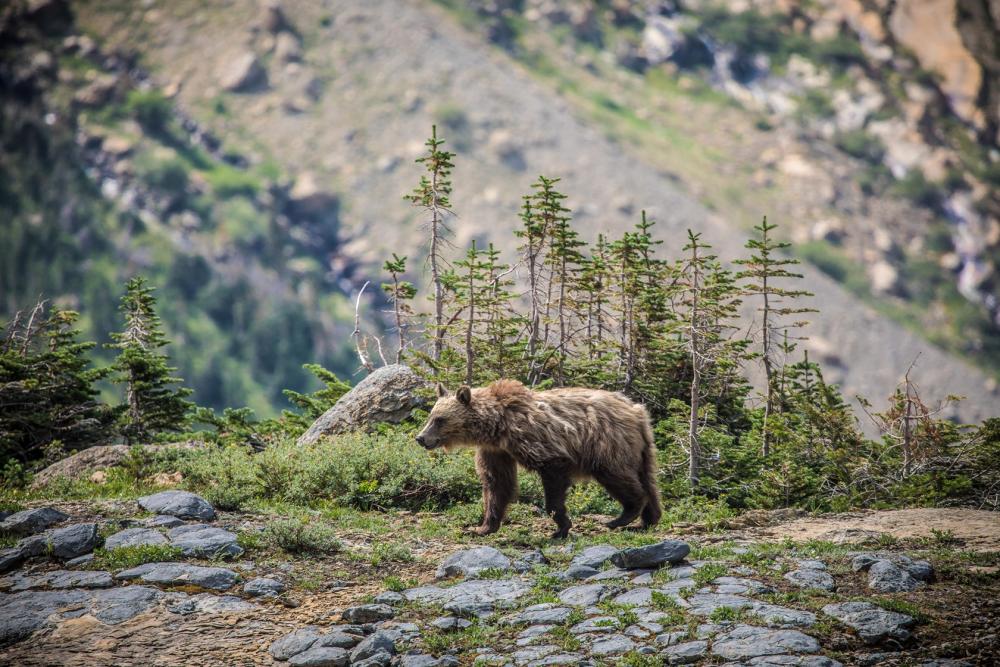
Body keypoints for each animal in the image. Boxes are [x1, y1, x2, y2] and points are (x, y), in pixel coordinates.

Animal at [415, 379, 662, 538]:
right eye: (431, 416)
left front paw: (561, 527)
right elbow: (497, 483)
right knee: (648, 479)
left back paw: (621, 517)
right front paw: (482, 527)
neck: (497, 426)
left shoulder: (535, 441)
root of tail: (636, 410)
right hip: (643, 448)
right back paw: (648, 519)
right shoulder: (497, 451)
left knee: (616, 476)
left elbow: (552, 476)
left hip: (606, 443)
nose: (421, 438)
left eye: (440, 419)